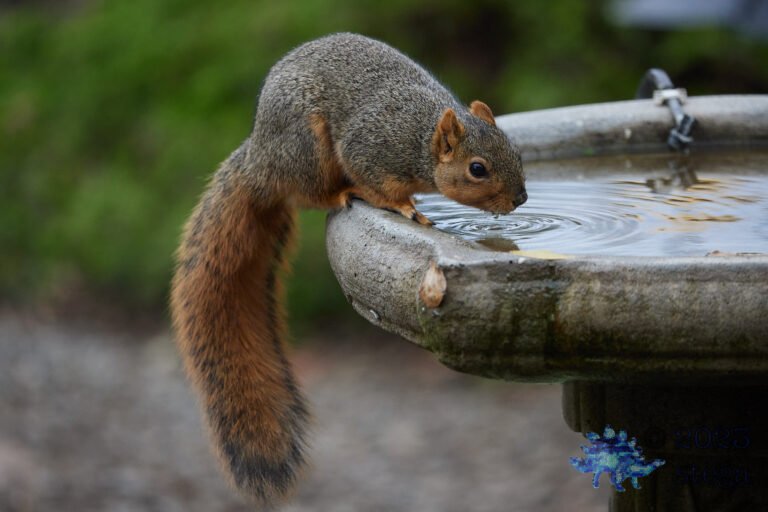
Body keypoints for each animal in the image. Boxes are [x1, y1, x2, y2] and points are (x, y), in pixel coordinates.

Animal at [170, 32, 526, 507]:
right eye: (477, 169)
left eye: (515, 151)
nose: (521, 199)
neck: (419, 139)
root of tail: (260, 162)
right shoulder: (370, 147)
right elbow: (377, 182)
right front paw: (405, 207)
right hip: (308, 148)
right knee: (310, 192)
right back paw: (341, 193)